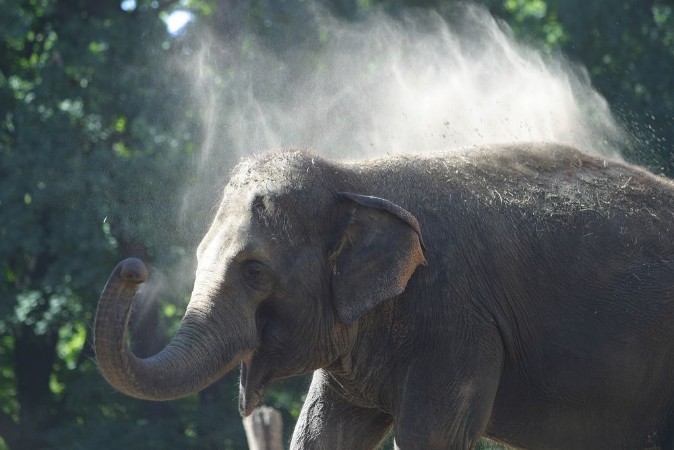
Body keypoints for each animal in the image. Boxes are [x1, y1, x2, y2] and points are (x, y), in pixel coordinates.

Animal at [95, 142, 674, 449]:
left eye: (255, 271)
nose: (133, 268)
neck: (353, 176)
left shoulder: (458, 325)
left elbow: (431, 439)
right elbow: (321, 434)